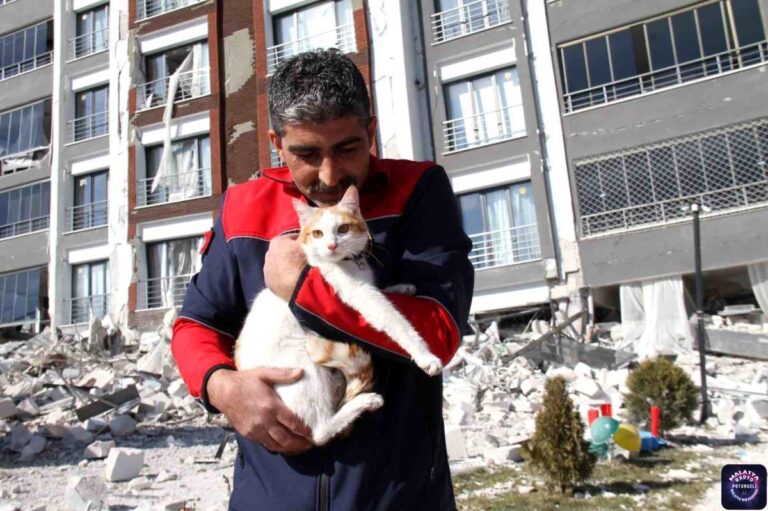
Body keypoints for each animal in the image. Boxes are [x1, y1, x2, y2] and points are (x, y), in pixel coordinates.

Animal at [232, 186, 444, 446]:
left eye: (342, 229)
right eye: (317, 233)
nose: (332, 245)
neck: (348, 264)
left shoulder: (368, 286)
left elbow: (385, 293)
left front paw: (402, 287)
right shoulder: (361, 294)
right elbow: (395, 320)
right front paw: (425, 356)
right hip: (305, 366)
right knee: (320, 431)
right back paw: (363, 402)